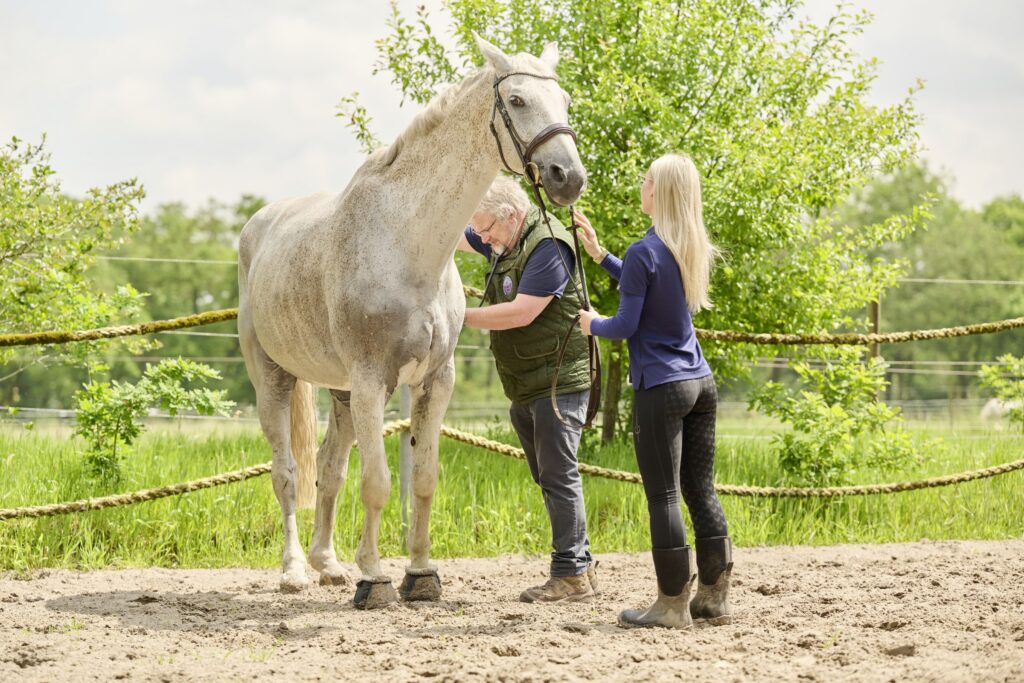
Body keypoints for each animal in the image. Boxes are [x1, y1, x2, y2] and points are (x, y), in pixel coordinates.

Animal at [237, 34, 586, 608]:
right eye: (516, 101)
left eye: (566, 103)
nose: (569, 178)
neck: (406, 244)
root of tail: (258, 228)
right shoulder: (371, 382)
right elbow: (377, 482)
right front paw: (375, 577)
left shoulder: (433, 384)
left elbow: (423, 478)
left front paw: (420, 573)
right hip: (276, 380)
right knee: (287, 473)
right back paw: (294, 571)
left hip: (340, 393)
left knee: (328, 471)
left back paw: (327, 564)